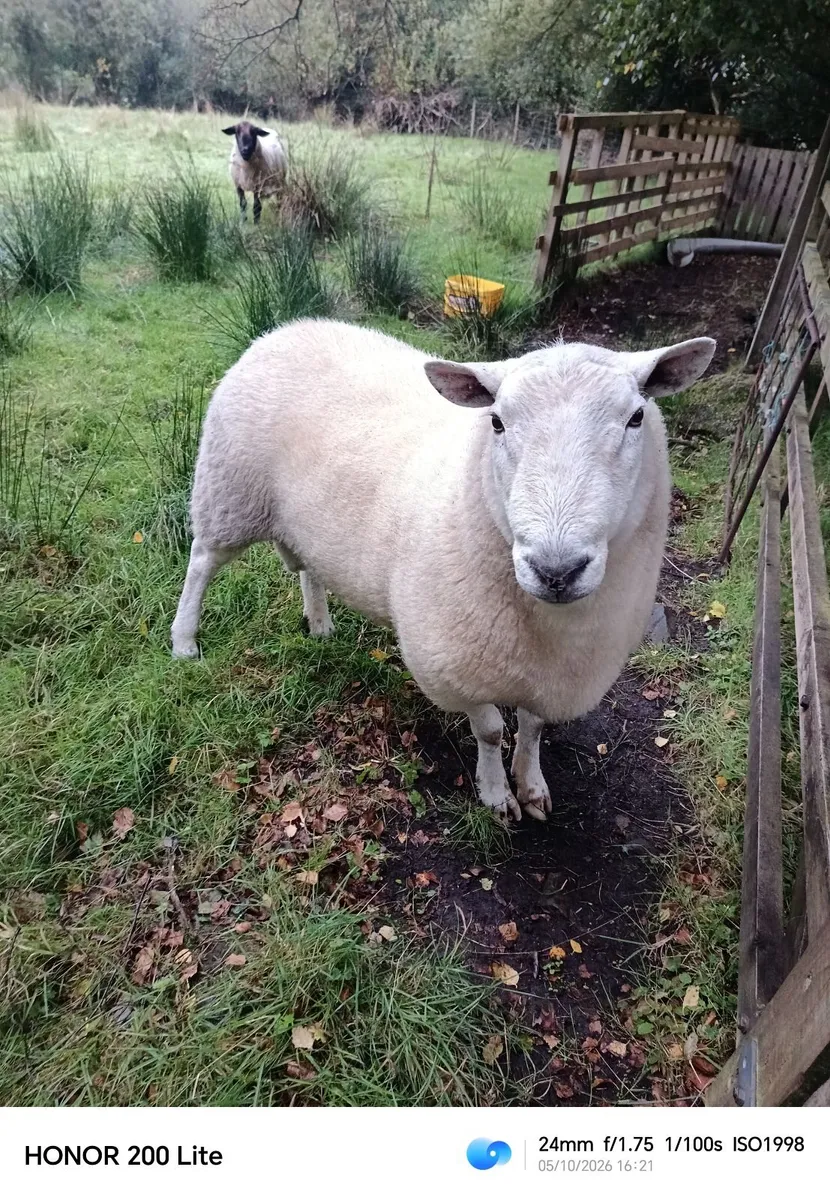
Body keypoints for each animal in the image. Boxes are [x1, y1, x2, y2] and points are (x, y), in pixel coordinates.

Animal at [171, 320, 715, 820]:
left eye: (637, 417)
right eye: (496, 423)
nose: (556, 570)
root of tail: (285, 329)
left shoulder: (552, 673)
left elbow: (533, 728)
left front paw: (531, 785)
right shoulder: (453, 664)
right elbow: (491, 731)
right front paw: (496, 797)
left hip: (305, 519)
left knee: (309, 568)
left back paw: (320, 625)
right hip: (230, 492)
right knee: (200, 563)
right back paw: (184, 642)